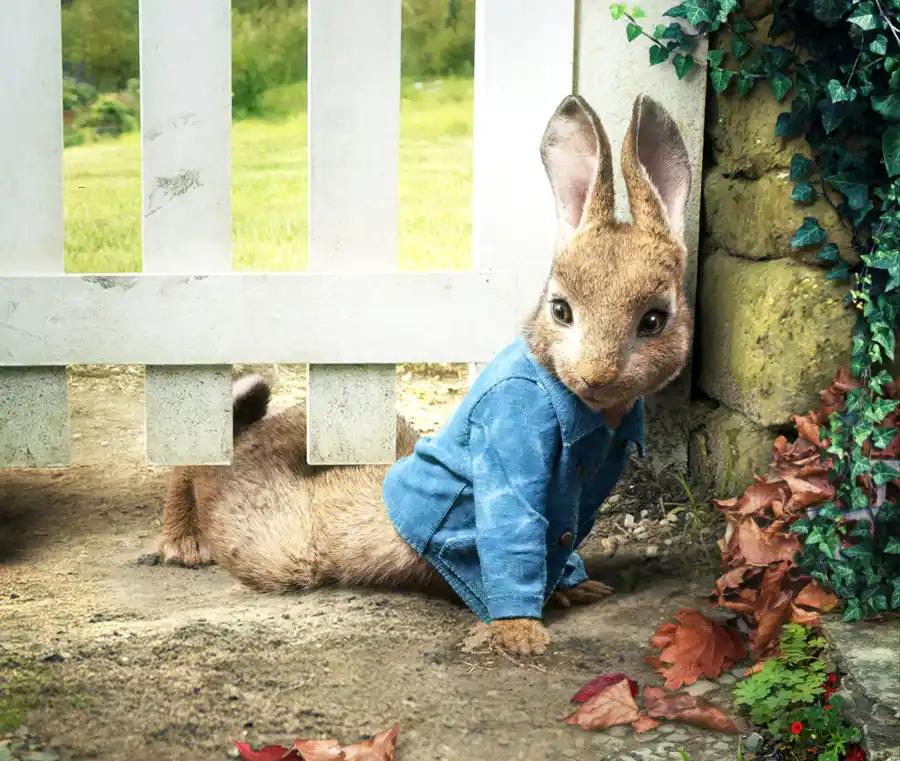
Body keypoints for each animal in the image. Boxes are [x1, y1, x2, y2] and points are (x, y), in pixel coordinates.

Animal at [153, 92, 694, 657]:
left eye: (654, 320)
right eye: (561, 310)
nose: (596, 375)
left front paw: (579, 587)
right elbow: (514, 538)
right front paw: (520, 634)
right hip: (276, 541)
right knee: (202, 465)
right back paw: (183, 543)